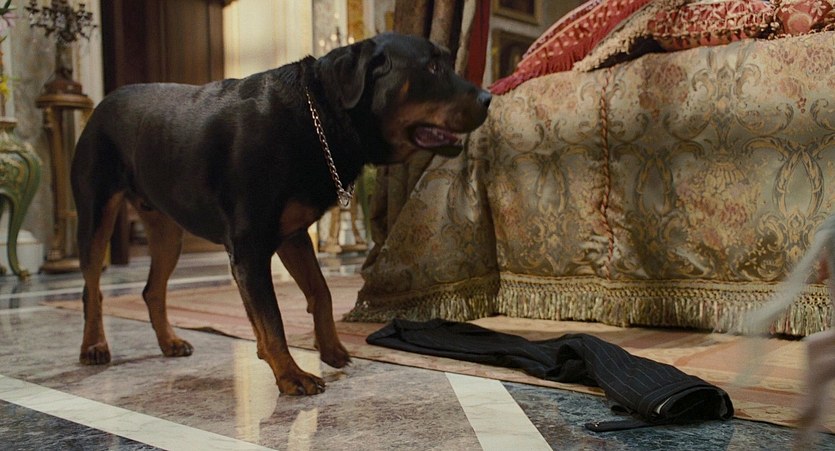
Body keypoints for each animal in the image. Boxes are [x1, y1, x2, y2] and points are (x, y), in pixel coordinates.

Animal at [70, 33, 491, 395]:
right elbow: (272, 318)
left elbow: (320, 291)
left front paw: (330, 349)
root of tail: (102, 103)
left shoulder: (292, 235)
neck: (317, 117)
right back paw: (94, 346)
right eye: (432, 68)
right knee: (92, 287)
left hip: (168, 230)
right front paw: (290, 374)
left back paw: (169, 341)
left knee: (151, 289)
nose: (488, 96)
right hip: (96, 212)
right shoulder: (250, 248)